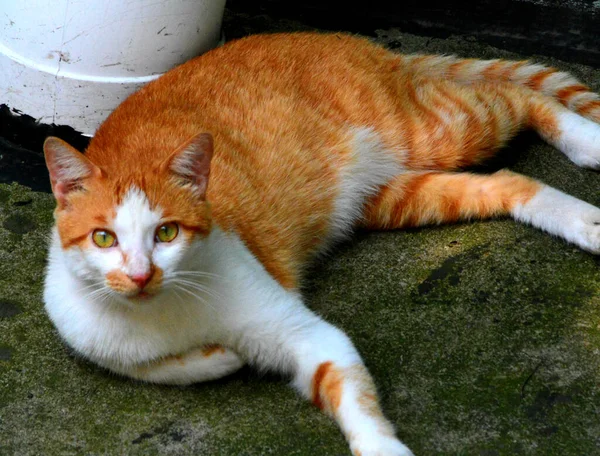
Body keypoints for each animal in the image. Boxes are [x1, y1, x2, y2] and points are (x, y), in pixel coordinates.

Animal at [44, 33, 600, 456]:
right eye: (103, 237)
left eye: (166, 232)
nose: (141, 274)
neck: (162, 312)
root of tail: (337, 37)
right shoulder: (94, 338)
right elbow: (163, 369)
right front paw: (221, 356)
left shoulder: (305, 332)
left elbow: (351, 391)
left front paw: (383, 449)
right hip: (398, 195)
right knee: (507, 182)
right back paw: (585, 221)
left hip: (440, 129)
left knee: (513, 95)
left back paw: (587, 142)